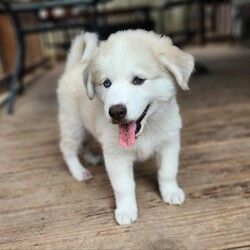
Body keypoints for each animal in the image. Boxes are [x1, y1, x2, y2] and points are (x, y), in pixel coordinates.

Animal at [57, 29, 194, 225]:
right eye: (106, 83)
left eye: (138, 80)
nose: (116, 112)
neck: (145, 130)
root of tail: (73, 66)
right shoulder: (117, 157)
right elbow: (124, 187)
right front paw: (126, 211)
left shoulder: (169, 144)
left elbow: (167, 172)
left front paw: (171, 193)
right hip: (72, 123)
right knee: (67, 148)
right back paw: (79, 172)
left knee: (84, 143)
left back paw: (91, 158)